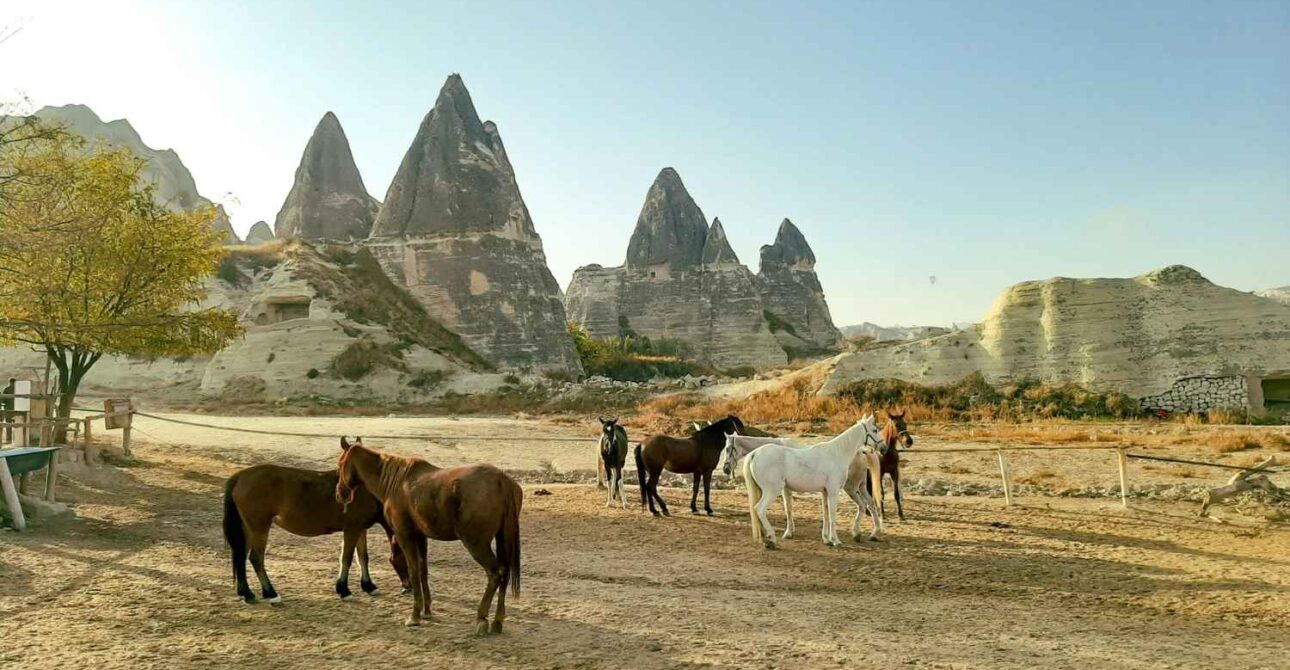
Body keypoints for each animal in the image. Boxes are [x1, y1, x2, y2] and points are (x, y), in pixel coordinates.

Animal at [219, 464, 405, 606]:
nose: (407, 588)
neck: (365, 490)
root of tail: (240, 476)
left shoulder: (361, 529)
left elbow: (363, 557)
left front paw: (369, 586)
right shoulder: (351, 529)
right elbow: (347, 558)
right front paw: (344, 590)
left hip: (248, 529)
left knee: (240, 557)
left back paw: (247, 594)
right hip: (259, 528)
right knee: (256, 558)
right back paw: (271, 594)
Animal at [335, 436, 521, 635]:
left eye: (340, 464)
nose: (340, 493)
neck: (398, 482)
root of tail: (501, 480)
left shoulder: (405, 534)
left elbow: (414, 569)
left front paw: (414, 615)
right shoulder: (420, 535)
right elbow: (423, 569)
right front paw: (426, 610)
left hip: (476, 544)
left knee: (495, 573)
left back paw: (482, 618)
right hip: (503, 540)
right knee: (505, 572)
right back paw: (497, 621)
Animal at [743, 413, 882, 549]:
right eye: (874, 430)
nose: (883, 447)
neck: (836, 454)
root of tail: (754, 454)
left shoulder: (825, 492)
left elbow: (826, 513)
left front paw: (827, 539)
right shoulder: (833, 491)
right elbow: (832, 515)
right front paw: (836, 541)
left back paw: (766, 540)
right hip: (772, 491)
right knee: (759, 509)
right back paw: (771, 539)